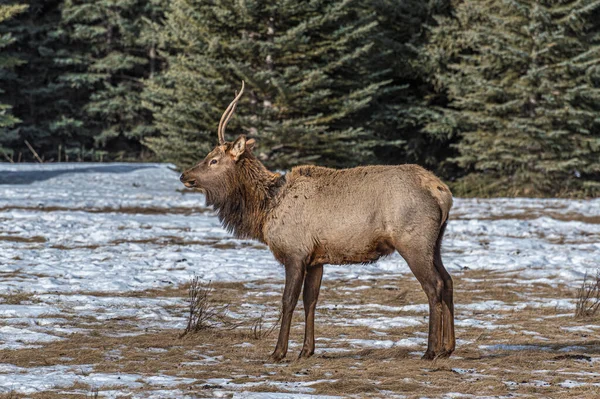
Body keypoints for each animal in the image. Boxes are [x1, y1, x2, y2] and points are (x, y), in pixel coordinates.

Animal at [179, 81, 454, 362]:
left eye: (213, 160)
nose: (184, 175)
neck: (266, 208)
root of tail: (442, 192)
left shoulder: (295, 251)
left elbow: (288, 300)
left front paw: (278, 352)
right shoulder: (316, 259)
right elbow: (310, 300)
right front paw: (306, 350)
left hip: (413, 242)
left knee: (434, 285)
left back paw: (431, 350)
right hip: (435, 243)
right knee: (449, 281)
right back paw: (448, 347)